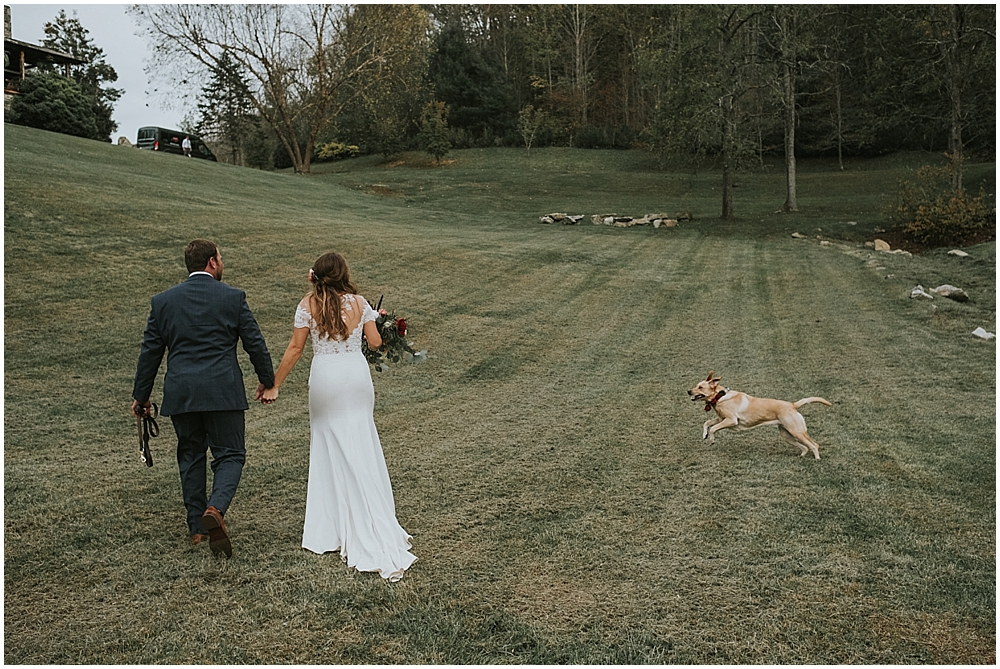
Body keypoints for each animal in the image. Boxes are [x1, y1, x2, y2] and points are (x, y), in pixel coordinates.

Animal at [688, 370, 828, 460]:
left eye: (700, 387)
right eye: (696, 385)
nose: (688, 391)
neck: (720, 396)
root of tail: (793, 405)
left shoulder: (731, 420)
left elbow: (713, 428)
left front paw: (711, 439)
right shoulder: (721, 418)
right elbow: (707, 423)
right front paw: (704, 435)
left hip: (797, 431)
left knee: (814, 445)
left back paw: (817, 459)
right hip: (787, 435)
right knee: (805, 447)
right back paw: (802, 456)